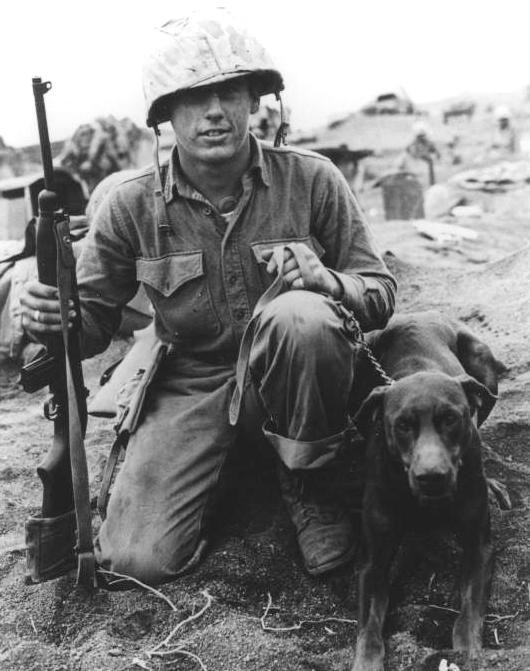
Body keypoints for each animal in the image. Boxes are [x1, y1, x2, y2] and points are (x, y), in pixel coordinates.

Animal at [350, 312, 500, 671]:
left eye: (451, 418)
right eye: (402, 425)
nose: (431, 476)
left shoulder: (479, 546)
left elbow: (469, 613)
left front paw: (467, 652)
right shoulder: (372, 561)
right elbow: (368, 629)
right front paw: (366, 660)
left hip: (482, 361)